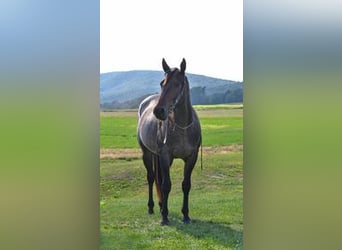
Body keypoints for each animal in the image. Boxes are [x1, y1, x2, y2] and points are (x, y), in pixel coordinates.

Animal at [137, 58, 200, 225]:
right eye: (162, 83)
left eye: (178, 84)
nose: (158, 111)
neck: (183, 127)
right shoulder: (166, 156)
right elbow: (166, 185)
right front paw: (165, 216)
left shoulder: (191, 158)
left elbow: (186, 185)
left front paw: (186, 215)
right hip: (147, 153)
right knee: (151, 178)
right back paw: (152, 207)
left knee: (158, 178)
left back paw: (160, 205)